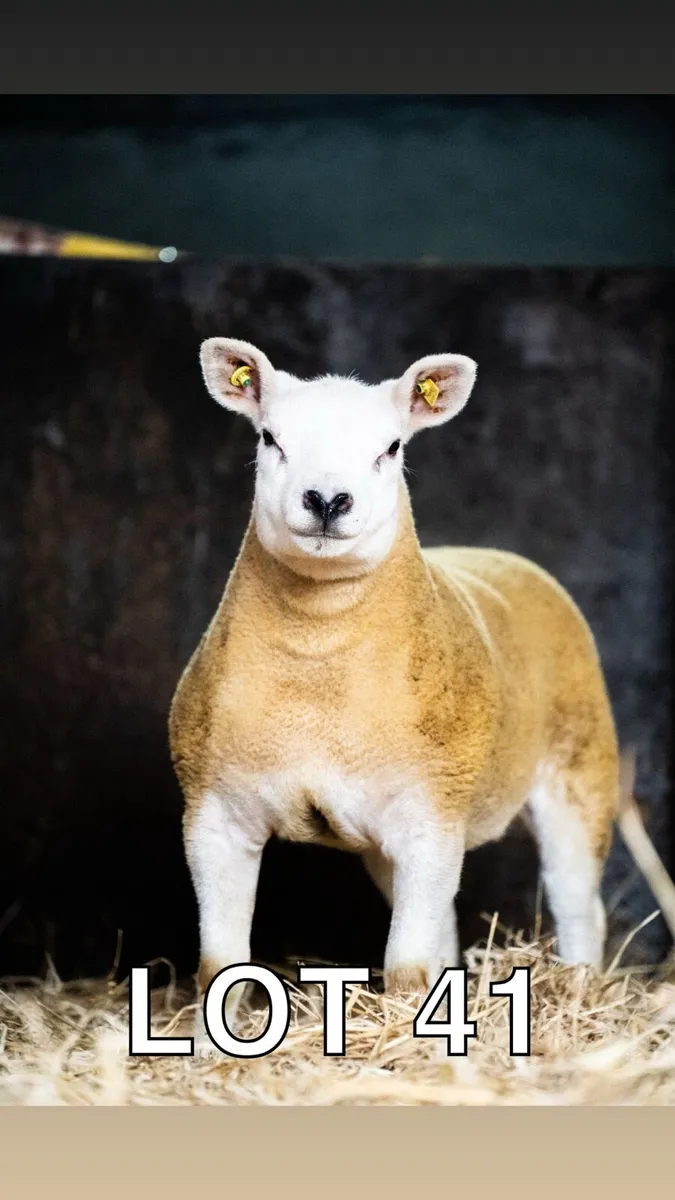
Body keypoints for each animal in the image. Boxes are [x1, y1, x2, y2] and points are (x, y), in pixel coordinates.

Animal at [169, 336, 622, 1045]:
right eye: (270, 437)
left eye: (391, 447)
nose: (327, 500)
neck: (317, 658)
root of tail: (503, 557)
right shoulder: (214, 811)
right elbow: (219, 964)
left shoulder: (430, 812)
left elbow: (406, 969)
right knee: (446, 927)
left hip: (579, 767)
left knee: (578, 904)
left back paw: (578, 993)